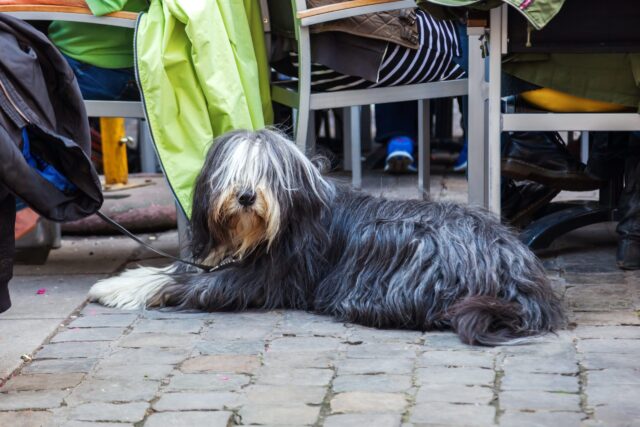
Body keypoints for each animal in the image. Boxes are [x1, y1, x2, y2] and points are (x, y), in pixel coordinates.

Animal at [90, 129, 564, 346]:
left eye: (267, 173)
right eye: (233, 172)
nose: (246, 196)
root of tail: (518, 269)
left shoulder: (262, 278)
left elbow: (180, 282)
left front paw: (115, 289)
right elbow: (174, 269)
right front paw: (119, 281)